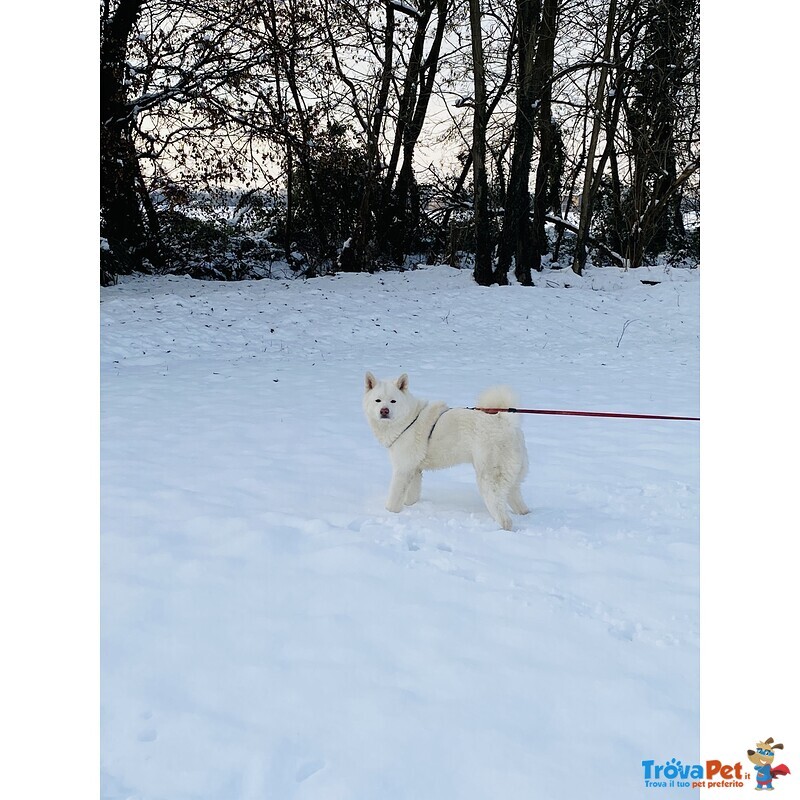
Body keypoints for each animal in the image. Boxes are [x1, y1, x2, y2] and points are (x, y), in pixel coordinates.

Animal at [364, 374, 532, 532]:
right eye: (378, 400)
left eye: (393, 401)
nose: (384, 411)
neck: (407, 421)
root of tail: (506, 422)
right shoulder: (415, 470)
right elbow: (412, 496)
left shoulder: (402, 470)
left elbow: (393, 501)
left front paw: (389, 514)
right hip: (512, 482)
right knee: (521, 507)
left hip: (489, 482)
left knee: (505, 519)